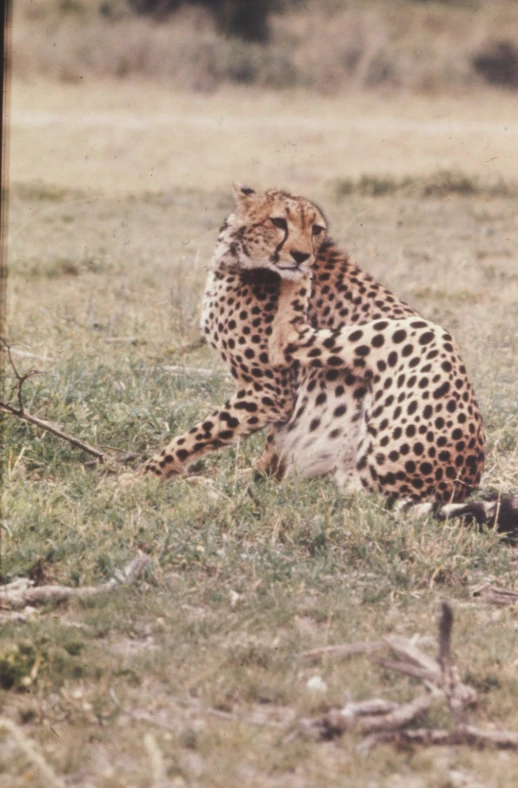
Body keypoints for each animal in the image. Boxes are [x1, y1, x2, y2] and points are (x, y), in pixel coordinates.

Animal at [143, 182, 518, 532]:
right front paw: (254, 483)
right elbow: (273, 447)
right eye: (278, 222)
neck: (237, 259)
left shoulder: (269, 390)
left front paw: (140, 478)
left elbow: (196, 436)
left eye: (316, 229)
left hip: (424, 336)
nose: (301, 256)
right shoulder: (280, 401)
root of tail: (456, 485)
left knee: (290, 338)